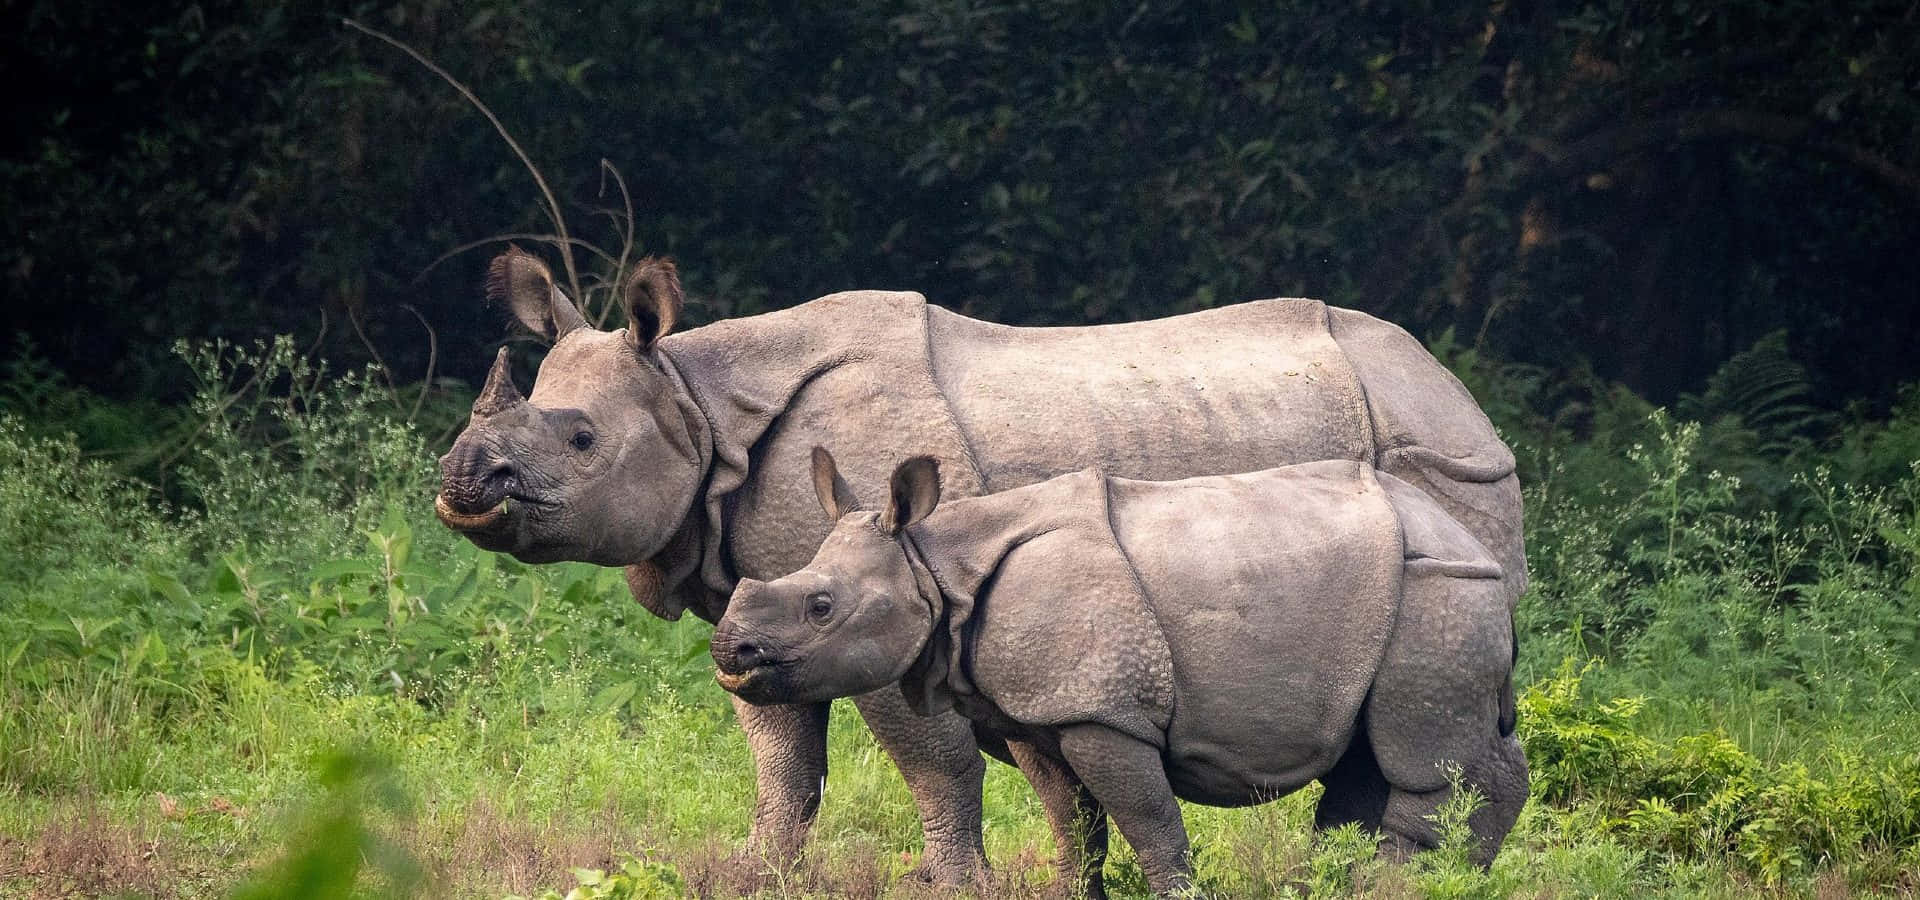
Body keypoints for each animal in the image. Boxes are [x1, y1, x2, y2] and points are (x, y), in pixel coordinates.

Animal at [712, 450, 1528, 898]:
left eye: (820, 606)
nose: (728, 653)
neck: (937, 565)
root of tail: (1469, 539)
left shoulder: (1103, 711)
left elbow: (1147, 818)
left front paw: (1180, 894)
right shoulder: (1042, 711)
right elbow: (1074, 821)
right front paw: (1068, 893)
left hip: (1437, 590)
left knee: (1425, 762)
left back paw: (1407, 885)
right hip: (1410, 596)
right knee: (1374, 757)